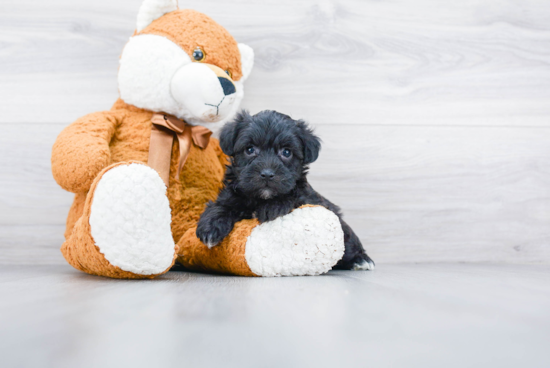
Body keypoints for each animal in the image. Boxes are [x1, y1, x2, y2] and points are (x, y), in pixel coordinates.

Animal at [196, 110, 378, 270]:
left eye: (286, 152)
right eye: (250, 149)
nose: (267, 174)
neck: (261, 198)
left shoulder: (307, 198)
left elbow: (292, 196)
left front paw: (273, 206)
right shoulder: (233, 193)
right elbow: (222, 205)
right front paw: (210, 227)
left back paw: (361, 260)